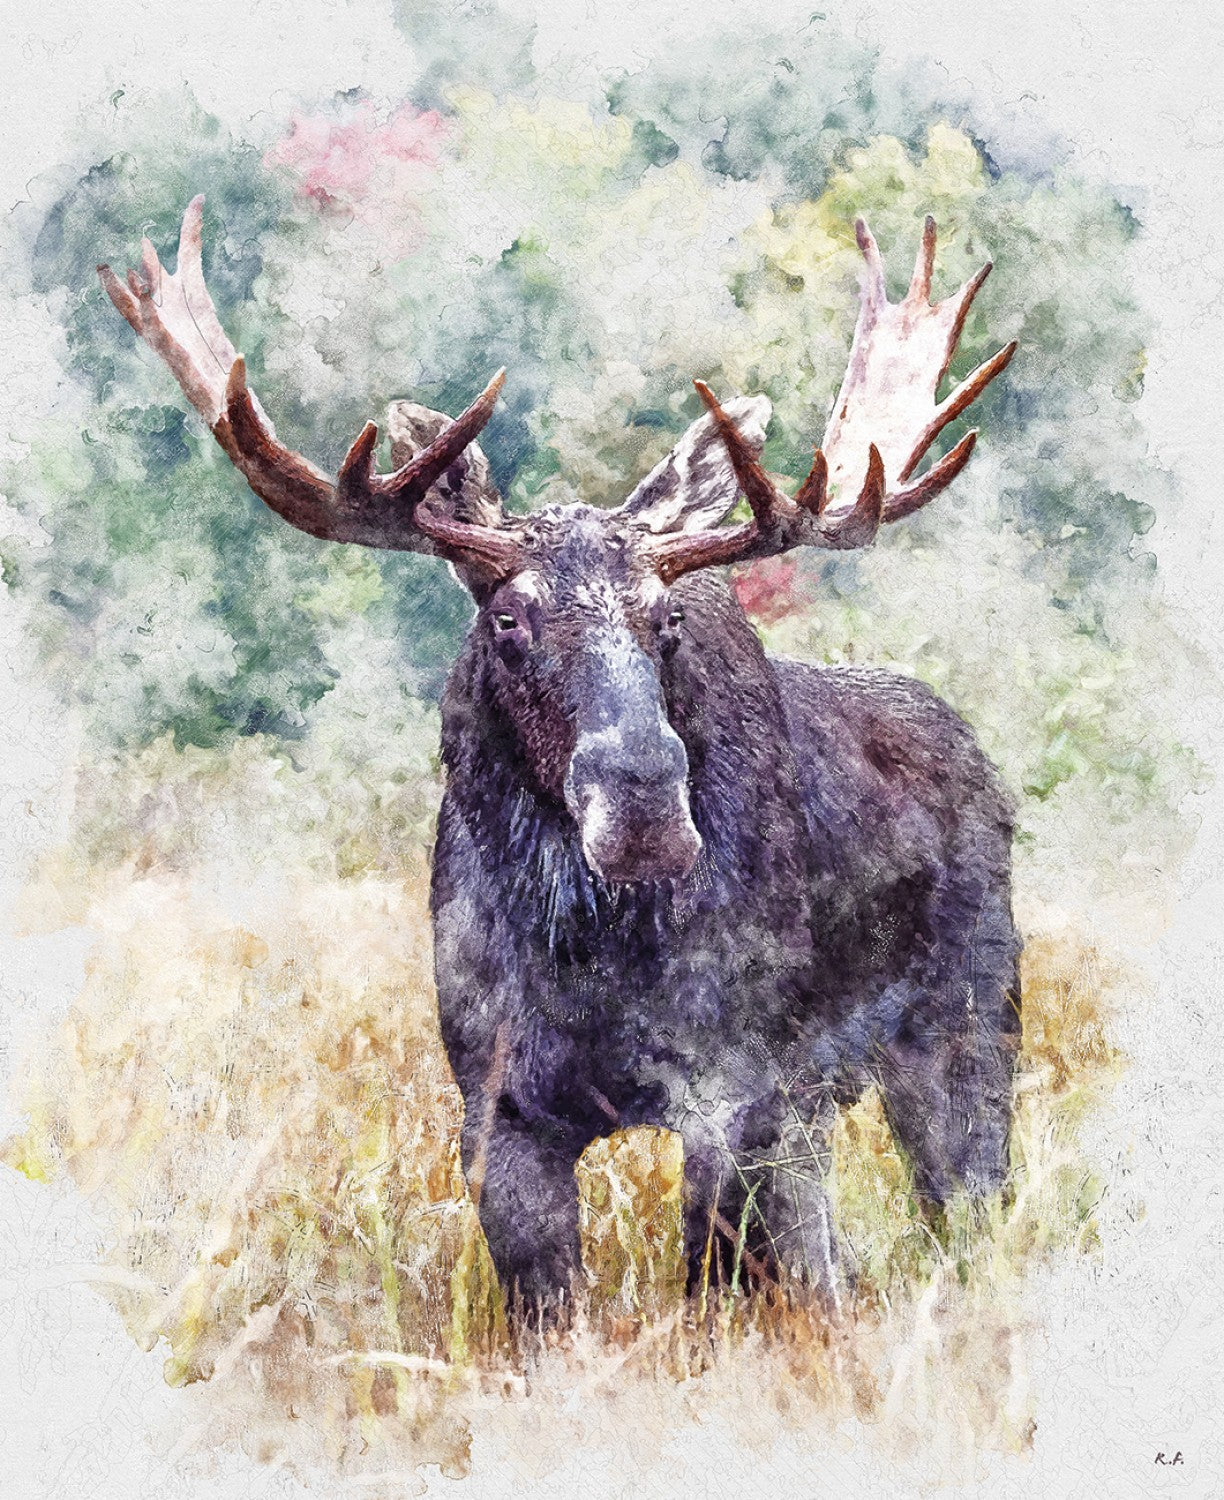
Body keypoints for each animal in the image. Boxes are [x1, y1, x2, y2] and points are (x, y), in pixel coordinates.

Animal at [99, 197, 1021, 1313]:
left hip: (965, 1034)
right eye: (506, 617)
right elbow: (552, 1310)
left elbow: (723, 1289)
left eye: (668, 617)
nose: (643, 809)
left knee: (957, 1214)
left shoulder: (739, 1093)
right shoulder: (500, 1109)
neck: (588, 949)